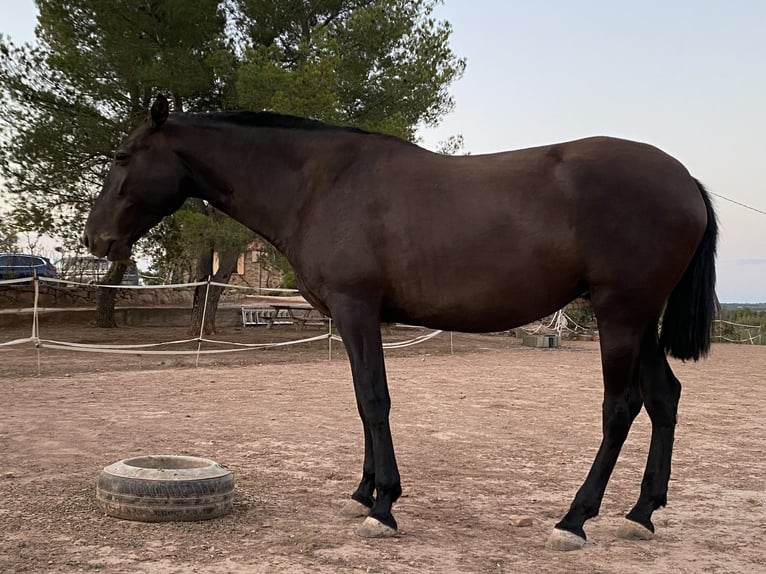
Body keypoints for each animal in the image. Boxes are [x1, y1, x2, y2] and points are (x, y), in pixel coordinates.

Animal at [84, 95, 720, 552]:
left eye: (122, 156)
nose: (96, 239)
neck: (320, 183)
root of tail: (685, 180)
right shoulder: (352, 319)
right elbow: (362, 400)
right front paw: (363, 493)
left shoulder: (358, 309)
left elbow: (374, 400)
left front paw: (384, 505)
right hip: (639, 319)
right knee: (664, 397)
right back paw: (640, 514)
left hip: (621, 312)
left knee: (622, 407)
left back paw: (574, 519)